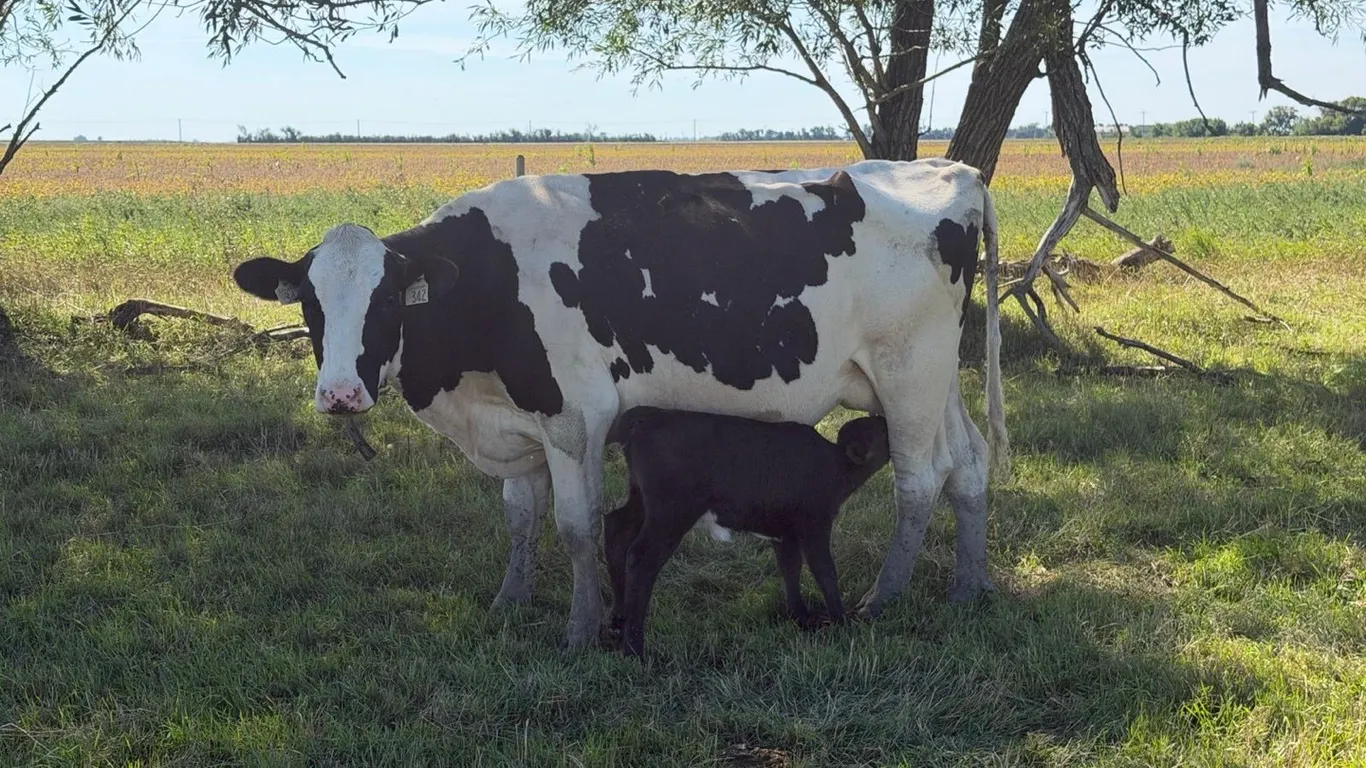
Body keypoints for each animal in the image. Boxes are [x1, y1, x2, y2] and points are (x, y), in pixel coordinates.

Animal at [230, 158, 1010, 649]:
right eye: (309, 305)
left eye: (389, 300)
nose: (340, 394)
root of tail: (948, 169)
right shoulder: (517, 422)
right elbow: (520, 518)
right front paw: (509, 603)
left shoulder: (576, 418)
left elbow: (575, 528)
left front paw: (581, 629)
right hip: (930, 378)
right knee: (969, 465)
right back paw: (969, 588)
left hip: (908, 371)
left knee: (919, 480)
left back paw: (885, 598)